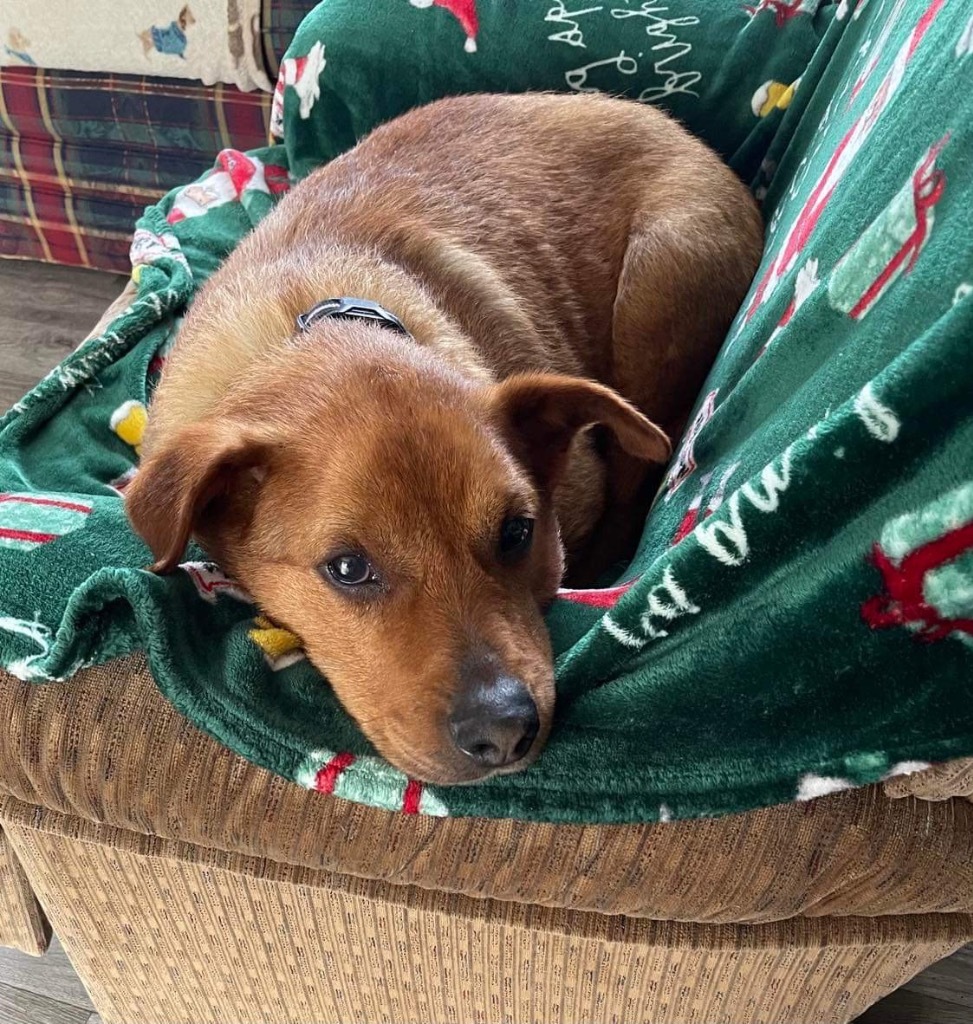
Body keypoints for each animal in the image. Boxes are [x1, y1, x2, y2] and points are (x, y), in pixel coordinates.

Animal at [125, 94, 766, 782]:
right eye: (347, 569)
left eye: (517, 532)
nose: (504, 732)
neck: (322, 325)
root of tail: (686, 135)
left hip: (657, 285)